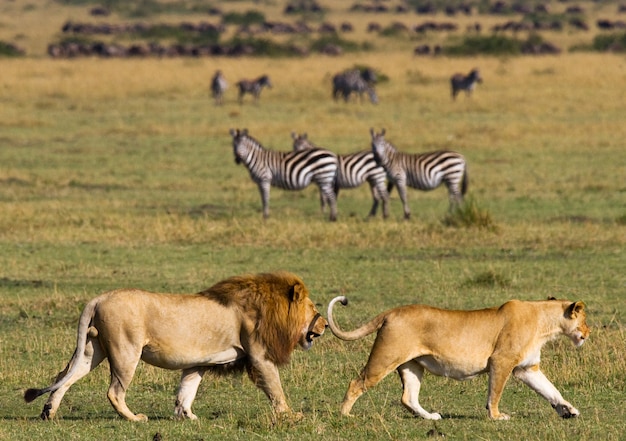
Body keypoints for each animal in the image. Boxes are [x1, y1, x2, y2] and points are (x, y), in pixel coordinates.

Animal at [24, 272, 326, 420]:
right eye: (313, 308)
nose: (323, 325)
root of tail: (98, 298)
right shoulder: (259, 355)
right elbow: (275, 387)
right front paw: (291, 415)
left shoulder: (198, 362)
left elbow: (187, 389)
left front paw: (187, 416)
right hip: (126, 350)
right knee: (114, 391)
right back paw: (134, 418)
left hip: (92, 349)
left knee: (64, 377)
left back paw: (49, 413)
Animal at [330, 296, 588, 420]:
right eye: (584, 320)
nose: (588, 333)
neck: (545, 324)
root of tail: (391, 311)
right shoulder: (501, 361)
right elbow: (495, 392)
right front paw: (496, 416)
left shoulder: (527, 368)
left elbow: (551, 390)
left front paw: (568, 410)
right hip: (385, 358)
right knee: (356, 383)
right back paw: (345, 415)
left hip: (412, 365)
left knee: (408, 398)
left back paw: (431, 417)